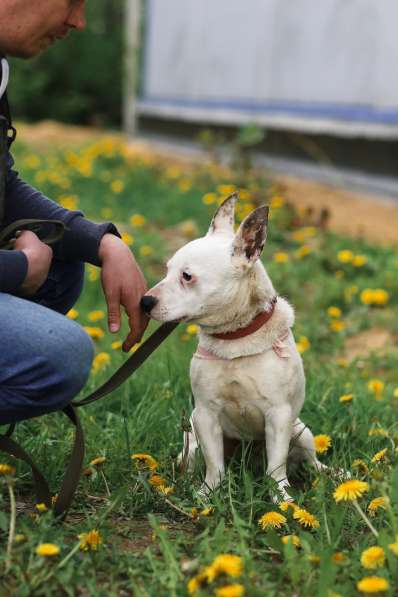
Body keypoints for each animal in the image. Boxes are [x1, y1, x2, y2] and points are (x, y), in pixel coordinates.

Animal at [141, 193, 326, 500]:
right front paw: (207, 494)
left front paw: (282, 499)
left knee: (311, 461)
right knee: (192, 458)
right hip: (191, 435)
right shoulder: (205, 415)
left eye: (187, 276)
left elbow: (276, 467)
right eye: (166, 270)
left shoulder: (279, 416)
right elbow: (215, 464)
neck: (235, 338)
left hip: (301, 431)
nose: (145, 301)